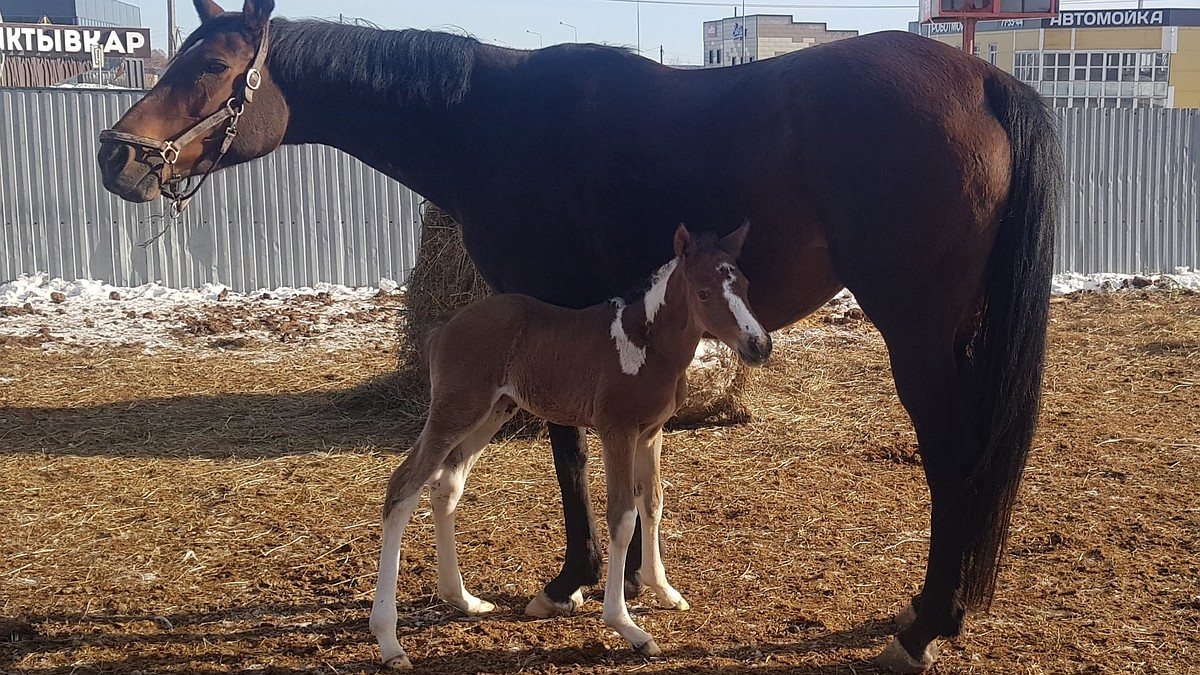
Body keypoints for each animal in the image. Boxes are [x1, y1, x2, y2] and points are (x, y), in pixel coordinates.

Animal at [98, 0, 1065, 667]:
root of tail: (990, 80)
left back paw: (926, 622)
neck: (489, 119)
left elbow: (568, 453)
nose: (115, 154)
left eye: (214, 66)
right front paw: (631, 583)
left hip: (919, 329)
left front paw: (572, 581)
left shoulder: (549, 303)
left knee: (953, 456)